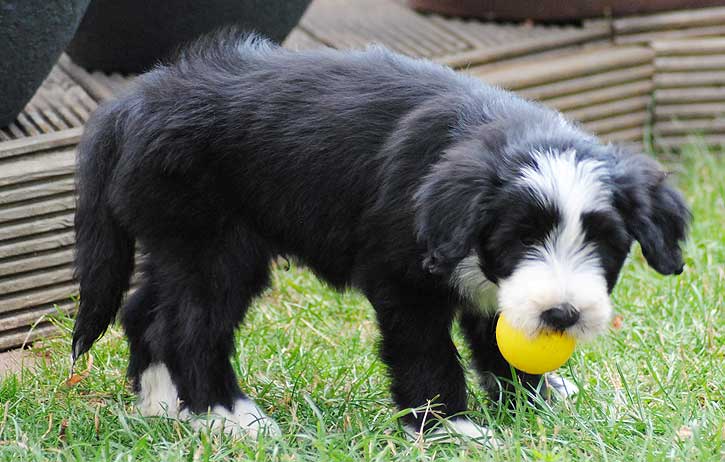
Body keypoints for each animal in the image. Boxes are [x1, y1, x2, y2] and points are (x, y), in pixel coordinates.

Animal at [72, 31, 692, 436]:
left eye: (605, 244)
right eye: (520, 238)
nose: (562, 315)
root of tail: (135, 101)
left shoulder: (494, 291)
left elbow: (499, 342)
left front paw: (531, 402)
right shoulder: (403, 282)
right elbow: (427, 354)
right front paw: (452, 430)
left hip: (176, 240)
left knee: (145, 312)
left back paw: (163, 404)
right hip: (216, 248)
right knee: (187, 328)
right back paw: (231, 418)